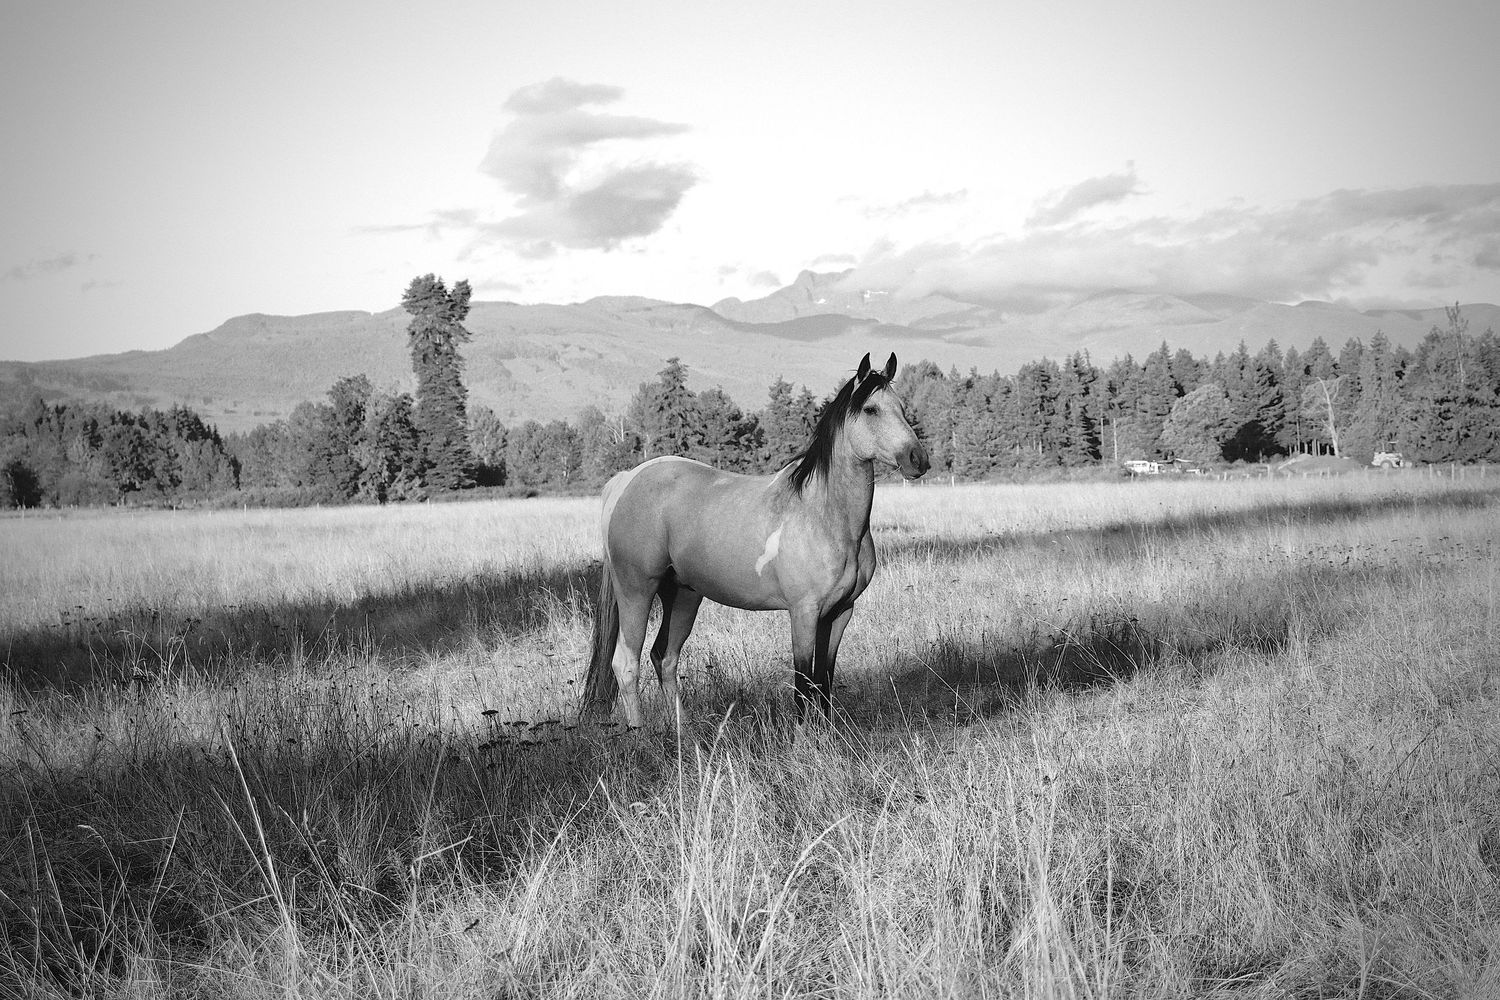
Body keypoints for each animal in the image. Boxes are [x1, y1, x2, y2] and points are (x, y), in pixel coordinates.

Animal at [581, 352, 930, 729]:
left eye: (901, 407)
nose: (918, 459)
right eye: (870, 409)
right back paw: (639, 731)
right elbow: (803, 682)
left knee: (665, 657)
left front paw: (827, 733)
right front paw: (804, 736)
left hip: (683, 594)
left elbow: (824, 679)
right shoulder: (804, 613)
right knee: (626, 663)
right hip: (636, 591)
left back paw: (684, 731)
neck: (824, 515)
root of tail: (626, 479)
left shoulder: (840, 613)